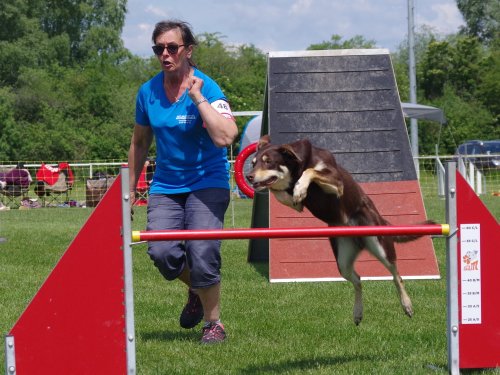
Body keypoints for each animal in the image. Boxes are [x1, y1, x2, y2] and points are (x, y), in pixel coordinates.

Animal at [245, 136, 430, 326]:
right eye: (253, 163)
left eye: (268, 162)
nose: (249, 176)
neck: (296, 168)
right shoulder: (293, 201)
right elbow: (279, 193)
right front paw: (295, 192)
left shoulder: (336, 183)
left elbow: (311, 171)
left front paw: (300, 188)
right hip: (343, 262)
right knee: (358, 281)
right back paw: (357, 312)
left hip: (381, 247)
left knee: (396, 276)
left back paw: (406, 304)